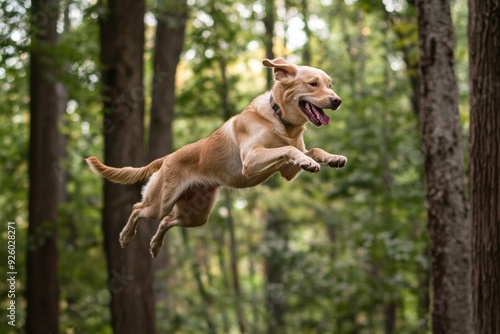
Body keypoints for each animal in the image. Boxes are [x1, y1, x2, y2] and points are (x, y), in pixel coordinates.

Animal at [87, 57, 348, 258]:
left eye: (330, 84)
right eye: (313, 84)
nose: (337, 100)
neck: (281, 120)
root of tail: (167, 157)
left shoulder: (287, 171)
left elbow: (312, 150)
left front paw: (332, 158)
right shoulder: (251, 159)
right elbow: (291, 150)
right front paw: (309, 161)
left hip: (196, 215)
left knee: (166, 221)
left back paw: (155, 245)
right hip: (160, 202)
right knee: (137, 208)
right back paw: (125, 236)